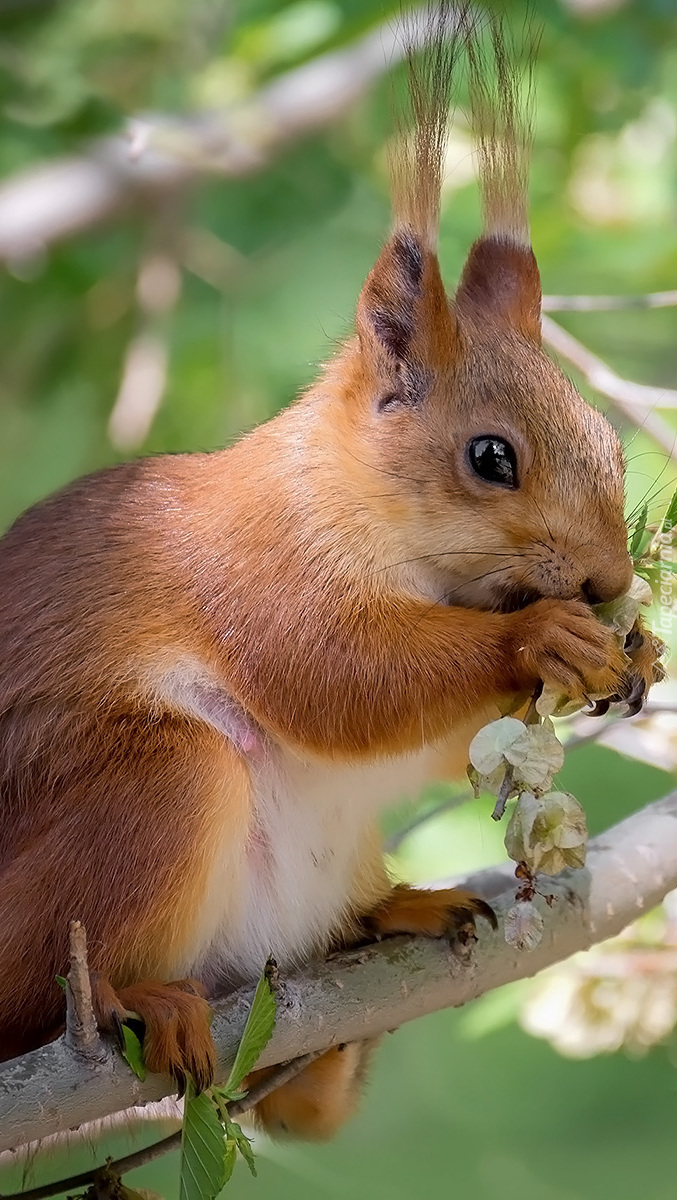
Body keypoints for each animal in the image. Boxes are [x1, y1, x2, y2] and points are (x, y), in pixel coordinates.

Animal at [0, 9, 662, 1137]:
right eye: (491, 456)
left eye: (612, 444)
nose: (609, 583)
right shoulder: (255, 570)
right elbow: (334, 680)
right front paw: (538, 638)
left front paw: (639, 655)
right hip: (138, 803)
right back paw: (143, 999)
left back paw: (386, 923)